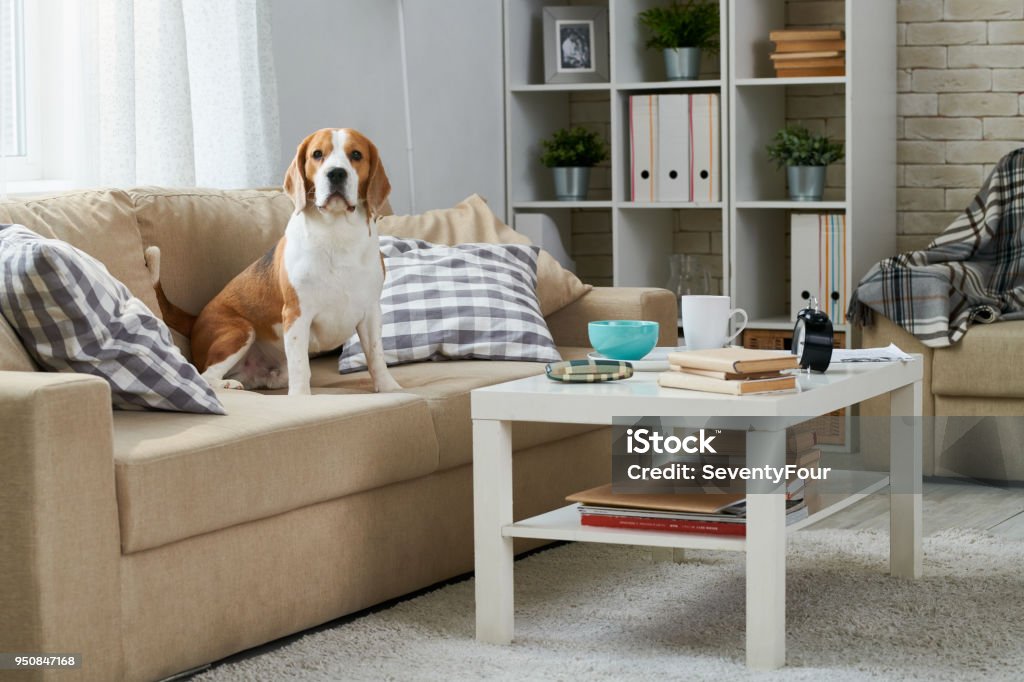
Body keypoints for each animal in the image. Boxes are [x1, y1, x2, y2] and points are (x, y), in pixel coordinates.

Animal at [151, 127, 399, 393]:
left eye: (356, 154)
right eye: (317, 154)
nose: (336, 173)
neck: (337, 233)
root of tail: (195, 319)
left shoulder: (370, 312)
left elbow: (376, 356)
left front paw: (388, 387)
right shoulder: (296, 314)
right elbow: (301, 367)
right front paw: (301, 397)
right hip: (240, 330)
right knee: (205, 375)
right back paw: (227, 383)